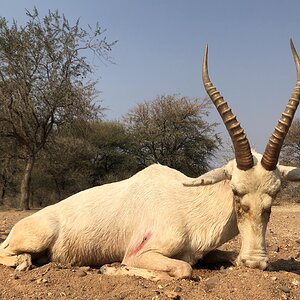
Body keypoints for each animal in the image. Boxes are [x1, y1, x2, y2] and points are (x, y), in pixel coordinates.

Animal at [0, 40, 300, 282]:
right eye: (236, 191)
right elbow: (182, 269)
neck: (188, 202)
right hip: (36, 237)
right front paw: (110, 268)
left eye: (275, 194)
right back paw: (24, 262)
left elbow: (225, 258)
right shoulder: (142, 252)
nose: (256, 262)